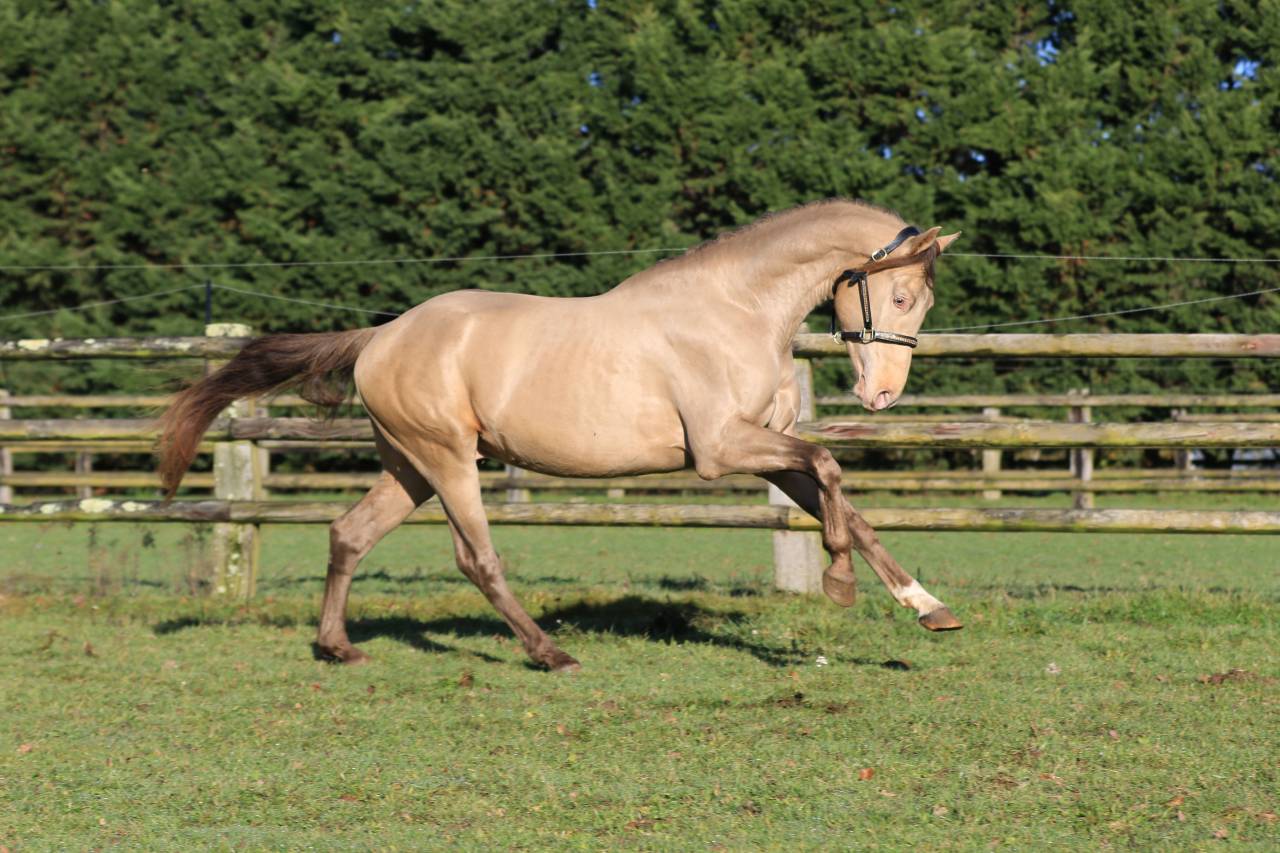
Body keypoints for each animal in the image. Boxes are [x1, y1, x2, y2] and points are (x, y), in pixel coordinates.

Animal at [157, 199, 962, 672]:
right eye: (897, 296)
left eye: (920, 302)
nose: (881, 395)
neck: (733, 308)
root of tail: (380, 336)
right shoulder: (720, 449)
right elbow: (829, 468)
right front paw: (838, 583)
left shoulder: (763, 451)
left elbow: (846, 505)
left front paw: (930, 608)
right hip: (449, 462)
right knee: (476, 558)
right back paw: (551, 653)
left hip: (410, 468)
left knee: (348, 533)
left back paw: (337, 648)